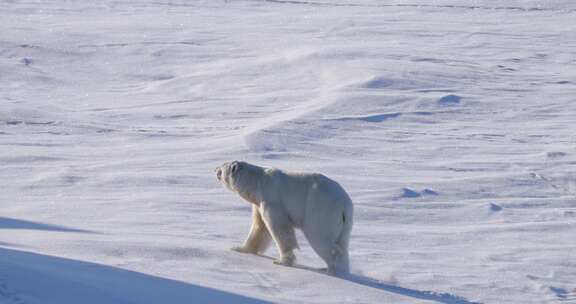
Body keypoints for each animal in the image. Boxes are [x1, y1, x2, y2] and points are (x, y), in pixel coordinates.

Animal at [215, 162, 354, 276]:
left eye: (223, 166)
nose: (215, 169)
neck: (258, 182)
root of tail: (344, 204)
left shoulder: (272, 200)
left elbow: (279, 228)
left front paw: (281, 261)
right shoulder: (259, 203)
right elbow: (259, 227)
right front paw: (239, 248)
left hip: (320, 209)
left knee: (319, 237)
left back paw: (332, 270)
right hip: (345, 223)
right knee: (343, 242)